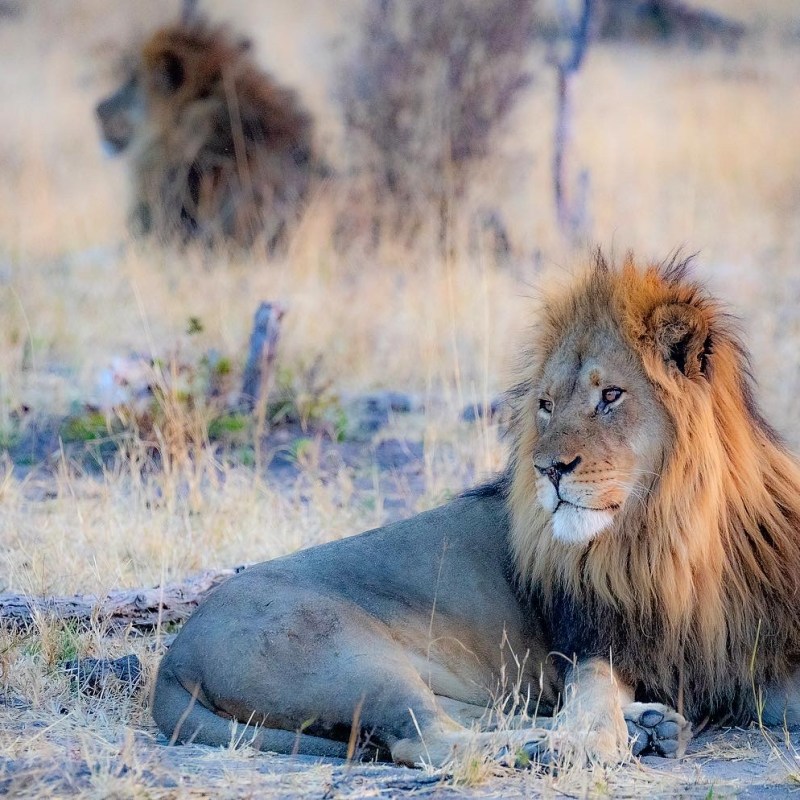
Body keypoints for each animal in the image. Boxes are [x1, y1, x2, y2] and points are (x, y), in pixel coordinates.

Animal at [152, 254, 800, 767]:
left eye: (611, 395)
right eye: (545, 405)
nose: (549, 469)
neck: (674, 528)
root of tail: (172, 658)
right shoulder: (592, 641)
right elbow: (589, 697)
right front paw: (588, 744)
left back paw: (649, 726)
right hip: (348, 656)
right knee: (423, 739)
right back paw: (546, 745)